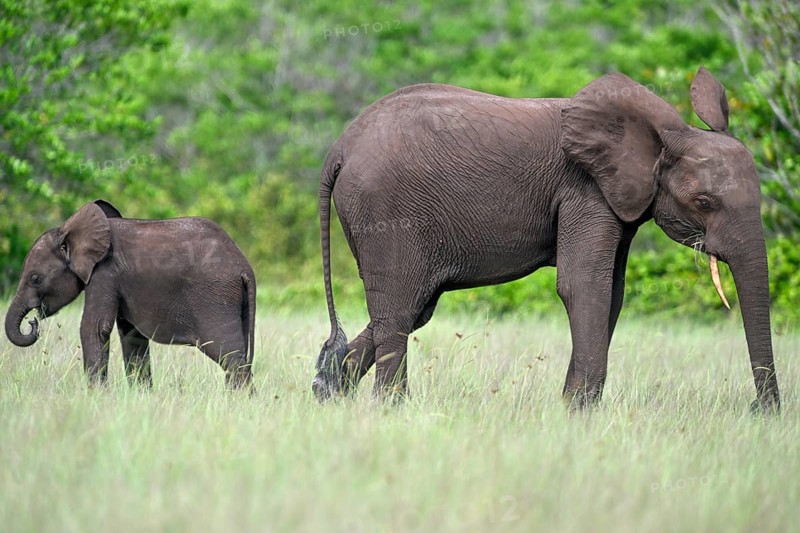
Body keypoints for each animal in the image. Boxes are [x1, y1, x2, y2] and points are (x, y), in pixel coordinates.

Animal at [4, 200, 257, 389]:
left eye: (35, 278)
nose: (33, 322)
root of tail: (244, 267)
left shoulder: (104, 273)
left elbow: (95, 327)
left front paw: (97, 397)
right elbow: (131, 335)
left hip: (216, 298)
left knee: (230, 356)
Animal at [311, 67, 780, 413]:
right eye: (703, 202)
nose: (761, 411)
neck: (663, 135)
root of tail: (340, 147)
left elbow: (612, 291)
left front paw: (571, 407)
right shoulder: (585, 189)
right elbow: (584, 285)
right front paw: (580, 413)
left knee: (413, 308)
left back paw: (327, 392)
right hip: (385, 213)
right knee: (398, 308)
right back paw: (389, 409)